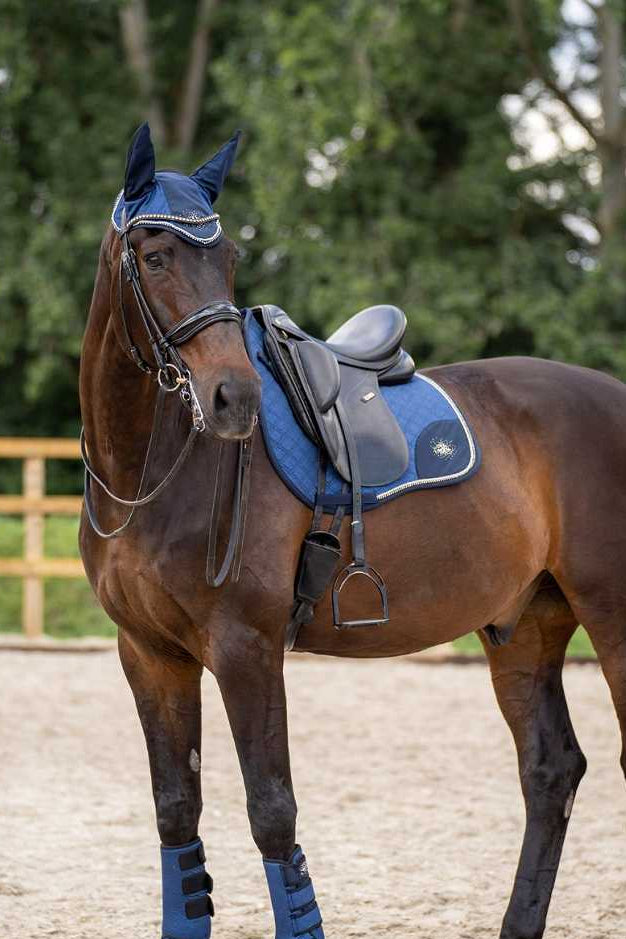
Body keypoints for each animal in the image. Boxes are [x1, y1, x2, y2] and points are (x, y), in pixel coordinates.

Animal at [79, 123, 626, 939]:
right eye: (154, 257)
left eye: (228, 256)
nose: (233, 397)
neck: (151, 472)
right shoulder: (149, 654)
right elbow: (177, 814)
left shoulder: (244, 647)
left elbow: (273, 814)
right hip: (525, 625)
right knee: (550, 769)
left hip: (612, 615)